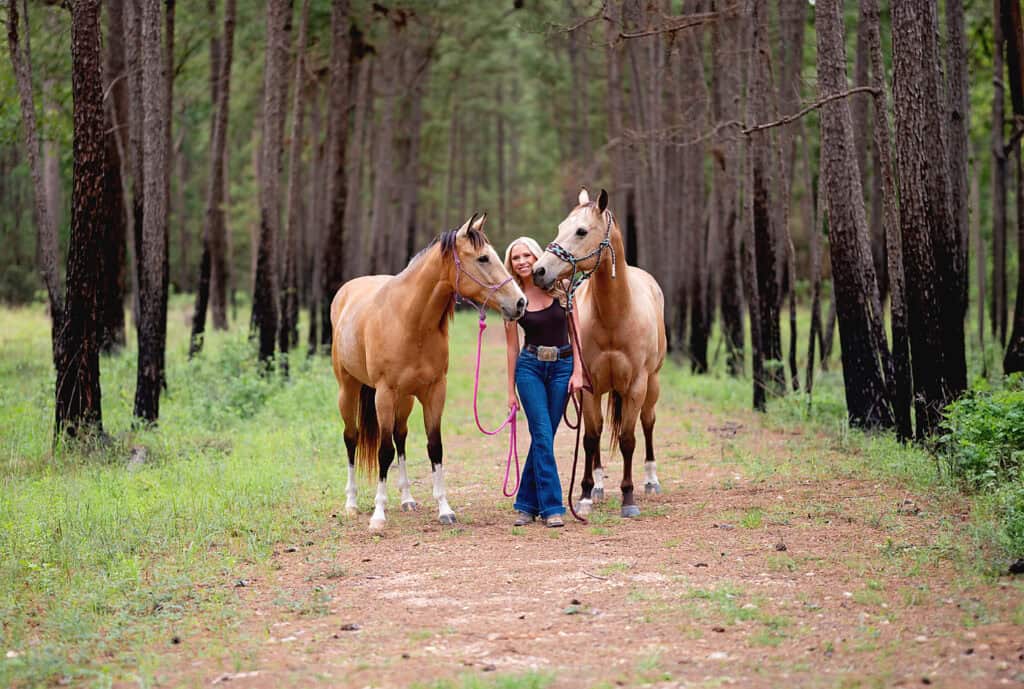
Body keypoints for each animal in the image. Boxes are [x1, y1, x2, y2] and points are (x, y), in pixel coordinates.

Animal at [329, 211, 528, 528]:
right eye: (483, 258)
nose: (520, 302)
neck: (409, 320)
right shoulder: (384, 394)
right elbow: (383, 451)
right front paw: (378, 514)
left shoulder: (434, 392)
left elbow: (434, 446)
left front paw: (444, 509)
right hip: (349, 389)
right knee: (352, 438)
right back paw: (351, 503)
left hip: (406, 399)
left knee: (400, 437)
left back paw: (407, 499)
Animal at [532, 188, 667, 515]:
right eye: (560, 228)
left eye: (581, 231)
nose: (539, 271)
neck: (615, 317)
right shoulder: (588, 385)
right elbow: (591, 438)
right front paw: (583, 495)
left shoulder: (636, 386)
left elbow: (629, 439)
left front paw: (629, 498)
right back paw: (599, 487)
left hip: (653, 384)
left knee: (648, 423)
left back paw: (651, 480)